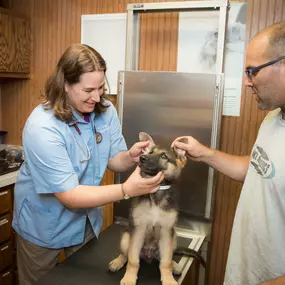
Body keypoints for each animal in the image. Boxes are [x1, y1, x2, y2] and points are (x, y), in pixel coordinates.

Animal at [108, 133, 204, 284]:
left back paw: (174, 265)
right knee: (125, 253)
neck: (157, 193)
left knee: (167, 257)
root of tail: (149, 255)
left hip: (173, 237)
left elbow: (165, 262)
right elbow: (133, 260)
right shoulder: (138, 229)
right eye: (150, 152)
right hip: (126, 236)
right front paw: (129, 278)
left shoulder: (166, 231)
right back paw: (118, 261)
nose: (142, 157)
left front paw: (168, 279)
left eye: (164, 156)